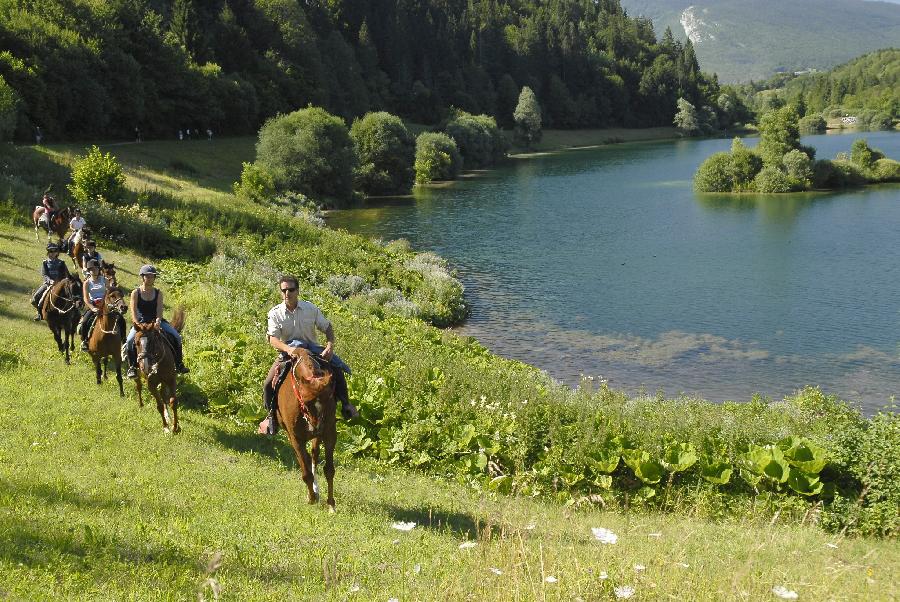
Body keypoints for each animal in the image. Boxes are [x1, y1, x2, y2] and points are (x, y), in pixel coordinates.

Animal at [276, 346, 340, 510]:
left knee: (314, 456)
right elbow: (305, 473)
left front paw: (331, 504)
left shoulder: (329, 433)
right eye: (306, 402)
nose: (316, 426)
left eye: (328, 400)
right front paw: (311, 498)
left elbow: (329, 470)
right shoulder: (295, 438)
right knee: (306, 460)